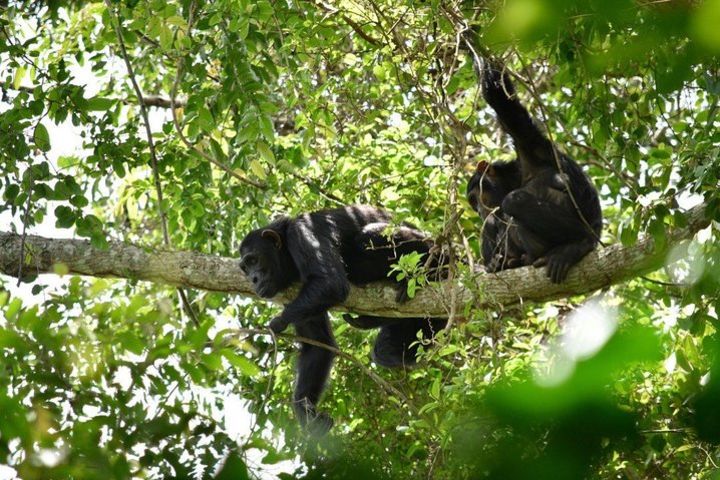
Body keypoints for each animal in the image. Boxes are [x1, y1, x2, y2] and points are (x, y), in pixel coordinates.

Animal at [239, 206, 448, 436]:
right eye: (245, 268)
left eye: (254, 260)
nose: (253, 279)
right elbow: (318, 345)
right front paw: (306, 411)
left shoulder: (302, 234)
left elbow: (330, 283)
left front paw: (277, 323)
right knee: (385, 350)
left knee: (370, 235)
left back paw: (428, 272)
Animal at [466, 61, 600, 284]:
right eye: (472, 203)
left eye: (476, 198)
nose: (478, 209)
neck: (514, 178)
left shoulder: (528, 143)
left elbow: (502, 102)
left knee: (514, 200)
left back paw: (579, 243)